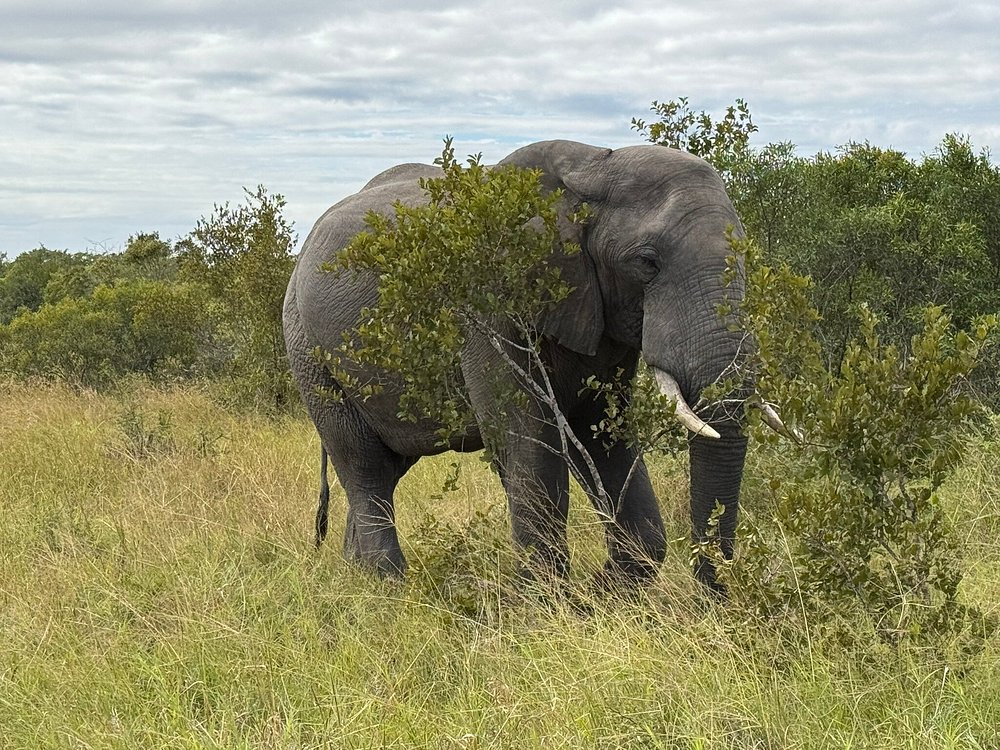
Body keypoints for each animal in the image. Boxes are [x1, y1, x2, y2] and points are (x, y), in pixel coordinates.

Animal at [284, 140, 781, 592]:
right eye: (646, 263)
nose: (711, 601)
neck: (594, 166)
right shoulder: (487, 304)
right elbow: (526, 441)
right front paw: (550, 603)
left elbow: (603, 435)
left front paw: (607, 593)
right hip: (307, 349)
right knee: (362, 464)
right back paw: (389, 586)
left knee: (387, 469)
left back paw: (357, 576)